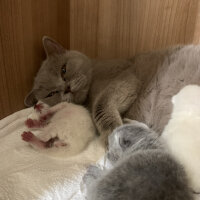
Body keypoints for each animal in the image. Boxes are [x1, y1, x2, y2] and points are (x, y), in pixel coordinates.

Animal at [24, 36, 200, 138]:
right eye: (51, 93)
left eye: (63, 70)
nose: (66, 88)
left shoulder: (127, 76)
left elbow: (101, 106)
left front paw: (114, 131)